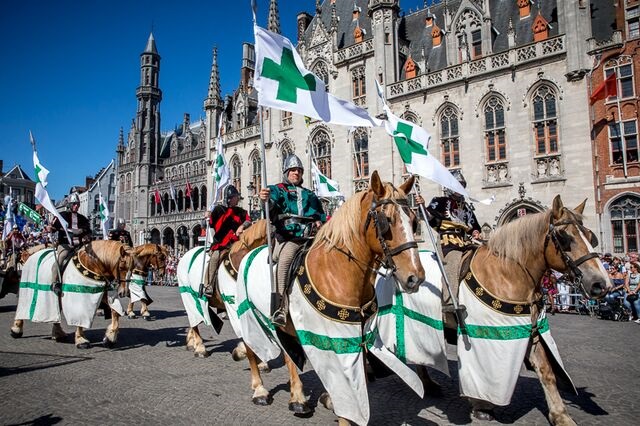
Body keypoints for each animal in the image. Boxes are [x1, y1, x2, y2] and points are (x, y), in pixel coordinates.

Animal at [178, 220, 270, 356]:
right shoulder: (233, 303)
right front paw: (242, 351)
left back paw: (191, 342)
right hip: (188, 295)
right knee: (194, 319)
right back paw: (200, 347)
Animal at [234, 172, 424, 426]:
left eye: (414, 220)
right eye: (386, 221)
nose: (415, 277)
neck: (337, 269)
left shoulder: (358, 334)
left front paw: (329, 400)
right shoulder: (334, 338)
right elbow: (344, 383)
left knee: (288, 354)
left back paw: (298, 398)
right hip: (248, 314)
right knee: (251, 347)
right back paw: (260, 390)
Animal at [388, 196, 608, 426]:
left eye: (590, 236)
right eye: (564, 237)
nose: (601, 284)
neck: (508, 272)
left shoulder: (530, 329)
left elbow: (546, 371)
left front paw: (560, 415)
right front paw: (481, 406)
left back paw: (427, 383)